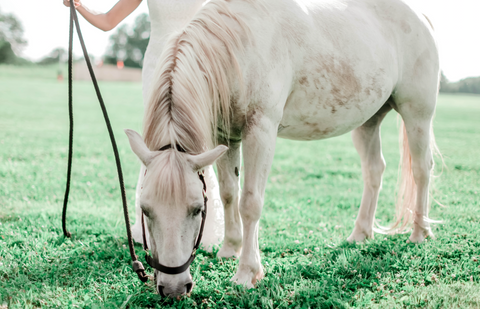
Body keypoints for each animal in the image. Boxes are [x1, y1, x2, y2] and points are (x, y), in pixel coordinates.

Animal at [124, 0, 438, 298]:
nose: (173, 289)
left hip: (417, 115)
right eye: (145, 209)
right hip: (368, 121)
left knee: (422, 170)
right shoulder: (226, 137)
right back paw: (360, 233)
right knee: (374, 170)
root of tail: (421, 17)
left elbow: (250, 202)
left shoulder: (261, 130)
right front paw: (229, 249)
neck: (238, 44)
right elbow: (228, 194)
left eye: (197, 209)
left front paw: (246, 272)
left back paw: (420, 232)